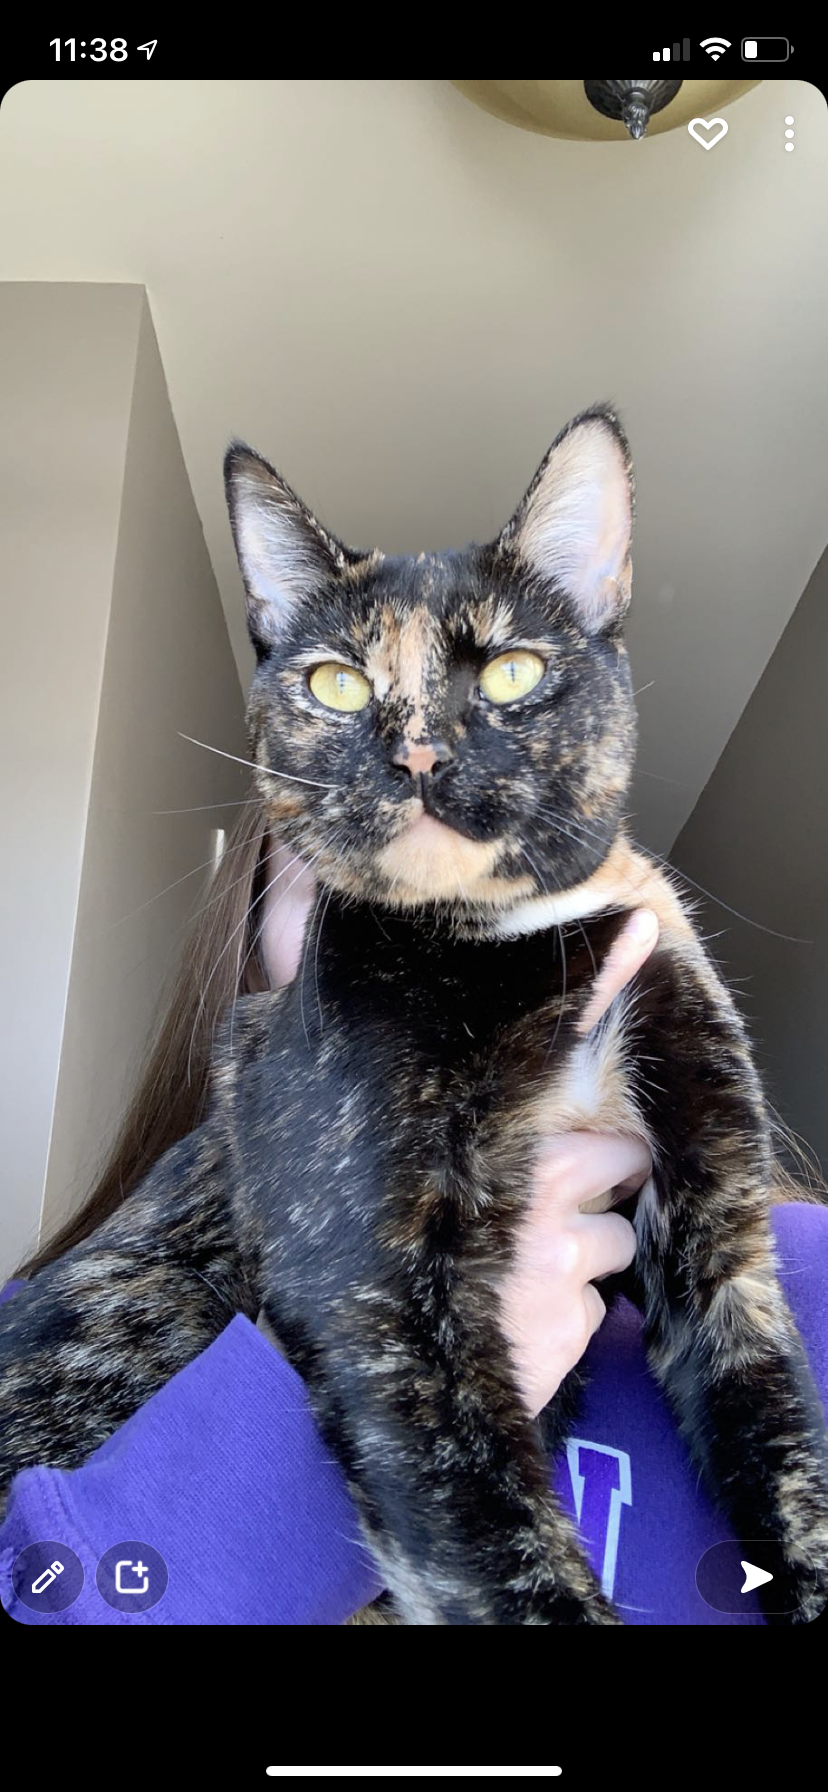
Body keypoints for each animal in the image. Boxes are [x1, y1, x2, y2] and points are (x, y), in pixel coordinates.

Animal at [2, 404, 827, 1624]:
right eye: (339, 684)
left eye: (515, 670)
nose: (419, 754)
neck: (513, 937)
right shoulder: (373, 1286)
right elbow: (493, 1541)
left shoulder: (720, 1220)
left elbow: (780, 1449)